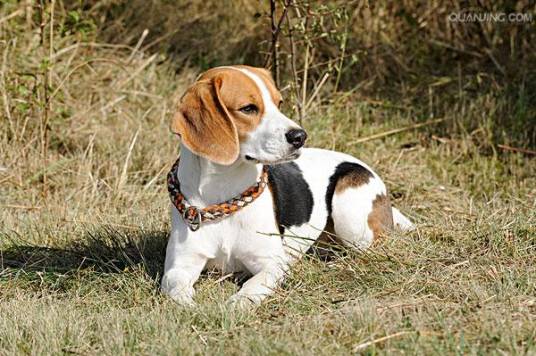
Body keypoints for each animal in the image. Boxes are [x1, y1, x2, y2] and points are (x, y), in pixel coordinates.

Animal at [161, 65, 412, 308]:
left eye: (279, 103)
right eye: (248, 108)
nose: (300, 136)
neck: (224, 193)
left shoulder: (271, 263)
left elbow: (253, 285)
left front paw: (239, 302)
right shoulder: (179, 267)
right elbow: (176, 291)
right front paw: (190, 305)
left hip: (349, 210)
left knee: (370, 250)